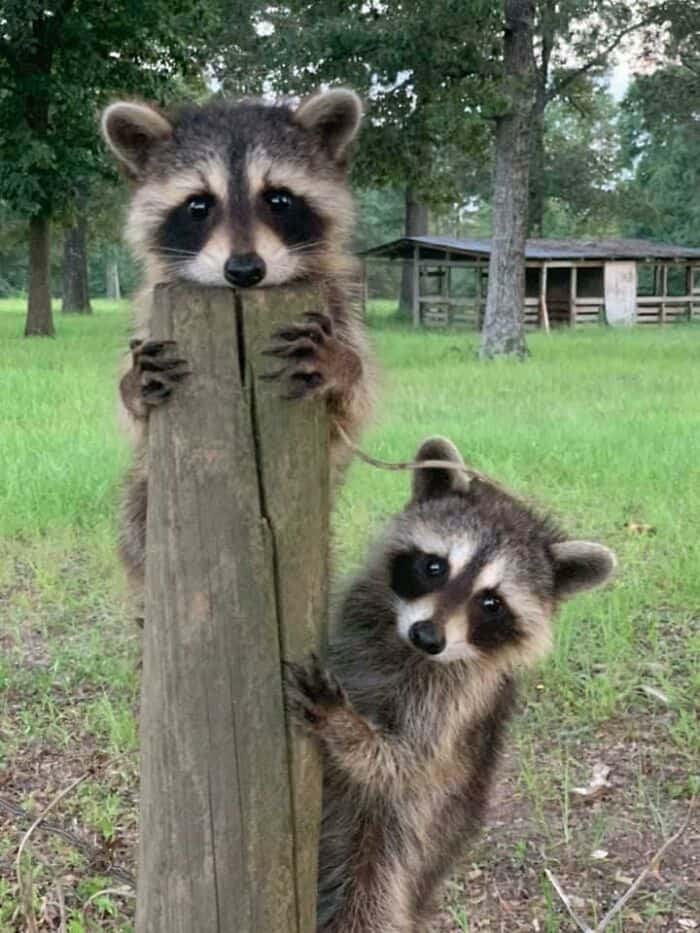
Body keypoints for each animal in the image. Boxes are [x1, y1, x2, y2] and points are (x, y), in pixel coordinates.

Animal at [100, 88, 374, 593]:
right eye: (198, 205)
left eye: (279, 199)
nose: (245, 270)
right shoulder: (151, 312)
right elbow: (139, 424)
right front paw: (131, 387)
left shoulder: (337, 305)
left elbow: (351, 407)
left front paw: (344, 366)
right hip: (144, 499)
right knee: (134, 525)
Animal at [286, 437, 616, 933]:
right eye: (434, 566)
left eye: (491, 602)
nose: (427, 636)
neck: (405, 648)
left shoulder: (457, 701)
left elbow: (402, 761)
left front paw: (346, 727)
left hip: (395, 850)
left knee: (366, 903)